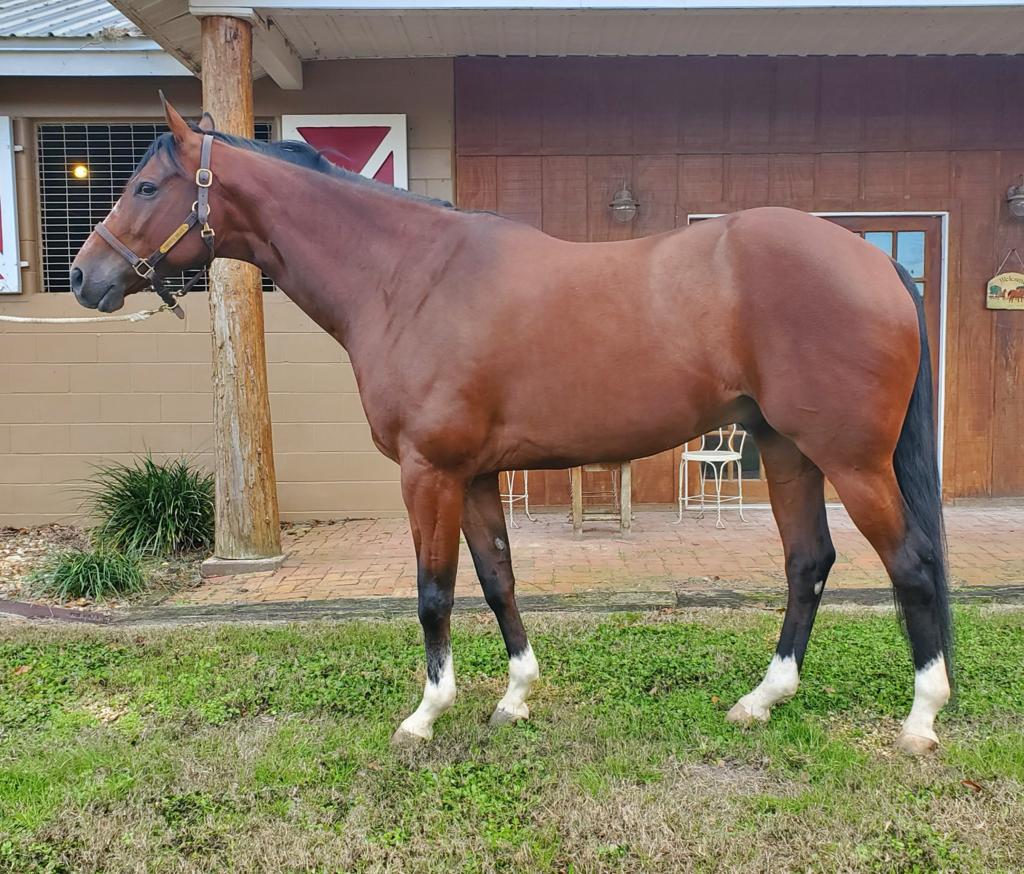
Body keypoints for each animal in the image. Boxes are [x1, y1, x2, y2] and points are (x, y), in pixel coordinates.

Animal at [70, 99, 953, 755]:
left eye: (146, 186)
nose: (84, 275)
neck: (409, 278)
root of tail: (876, 260)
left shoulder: (427, 471)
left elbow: (433, 592)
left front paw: (425, 716)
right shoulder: (476, 474)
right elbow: (497, 579)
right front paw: (516, 698)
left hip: (850, 458)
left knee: (909, 563)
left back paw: (919, 720)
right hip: (785, 449)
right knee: (809, 563)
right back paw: (761, 701)